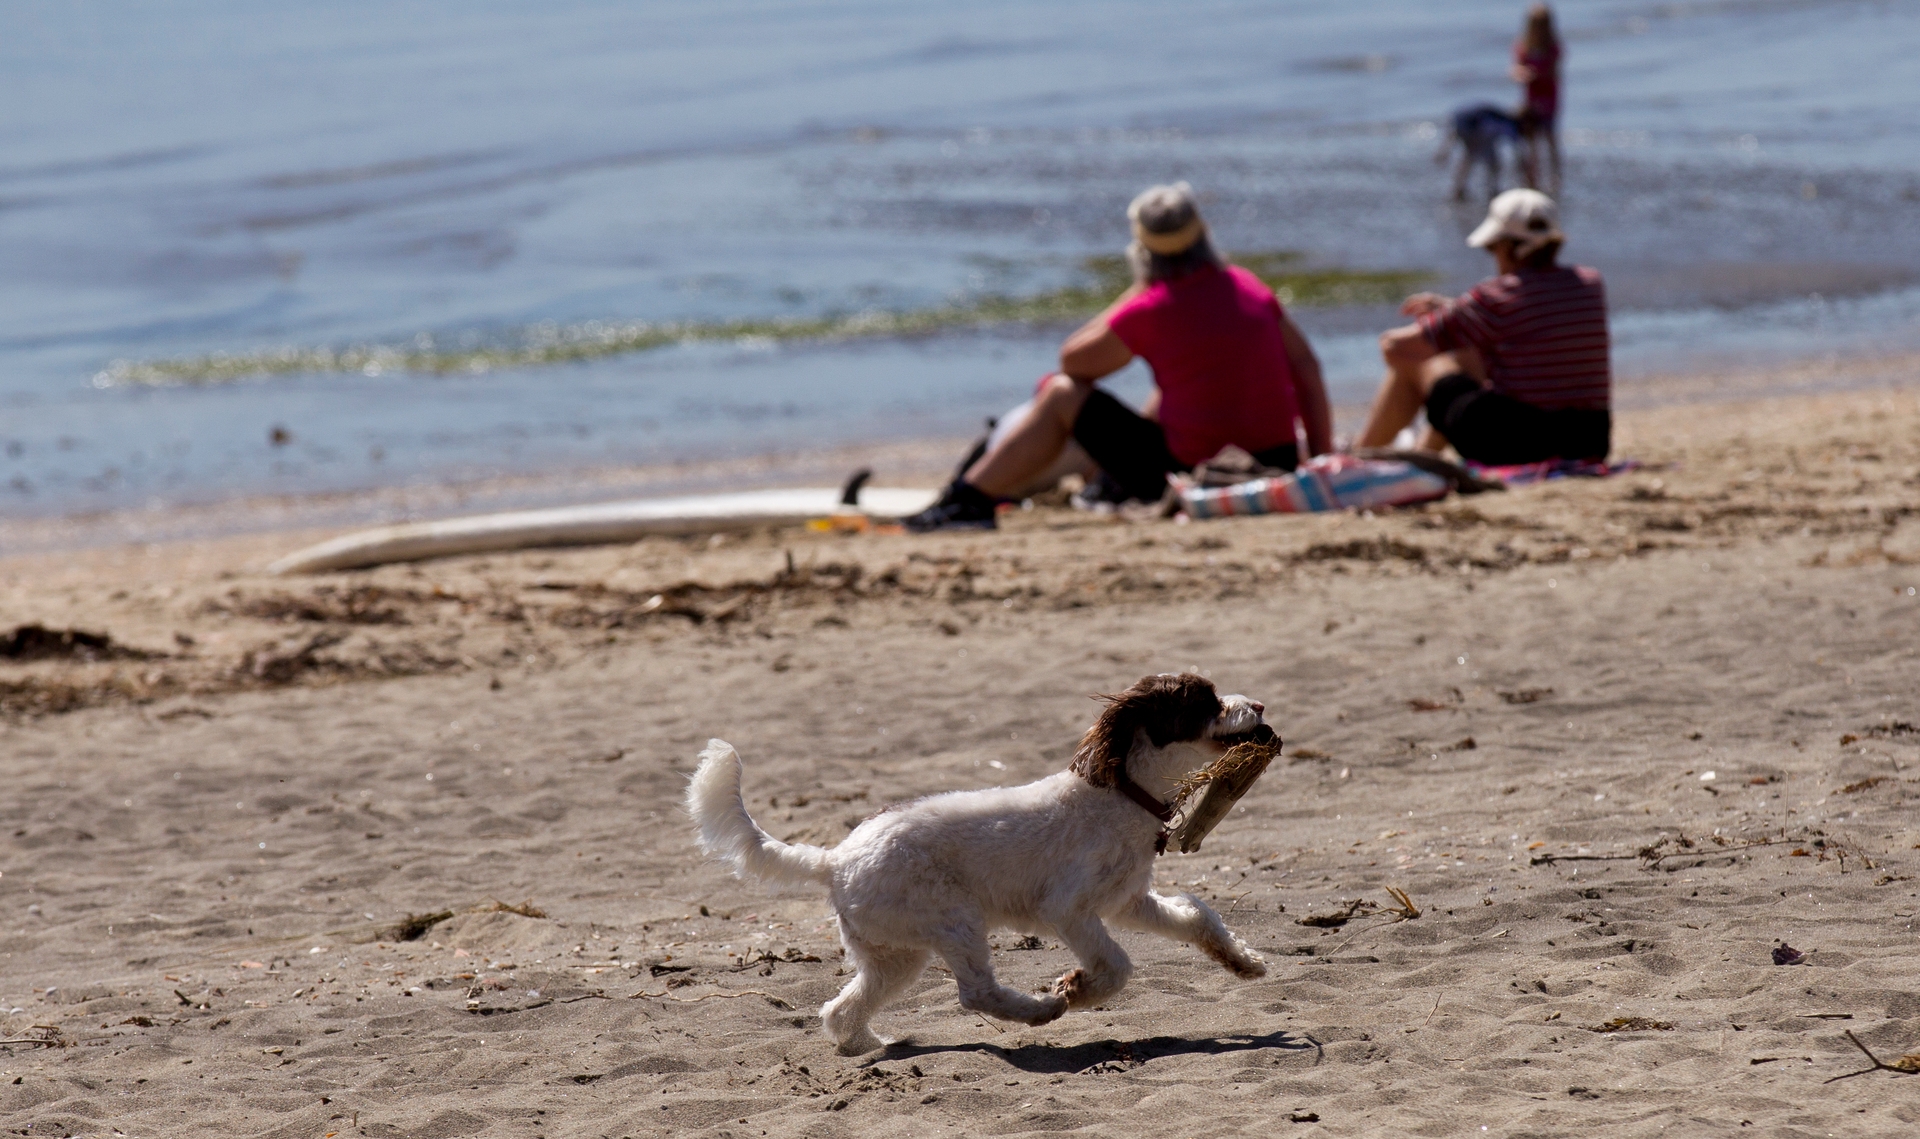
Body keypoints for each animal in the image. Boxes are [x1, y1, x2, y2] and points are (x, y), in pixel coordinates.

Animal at [683, 672, 1282, 1052]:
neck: (1120, 794)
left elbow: (1197, 915)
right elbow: (1116, 966)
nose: (1260, 706)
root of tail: (834, 860)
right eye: (1204, 701)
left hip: (896, 954)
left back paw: (868, 1045)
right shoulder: (1070, 910)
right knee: (974, 992)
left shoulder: (1127, 901)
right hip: (954, 921)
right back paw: (1040, 1010)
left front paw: (1243, 963)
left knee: (841, 1008)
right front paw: (1079, 990)